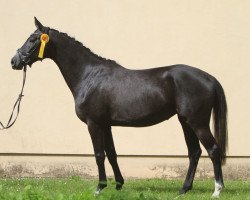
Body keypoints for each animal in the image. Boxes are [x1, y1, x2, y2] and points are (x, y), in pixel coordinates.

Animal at [10, 17, 228, 197]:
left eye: (33, 39)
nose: (14, 61)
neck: (89, 75)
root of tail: (210, 78)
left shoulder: (94, 123)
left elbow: (99, 155)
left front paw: (99, 187)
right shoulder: (106, 124)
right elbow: (112, 154)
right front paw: (118, 185)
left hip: (197, 122)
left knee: (213, 150)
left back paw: (217, 190)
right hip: (185, 122)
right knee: (194, 152)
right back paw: (184, 189)